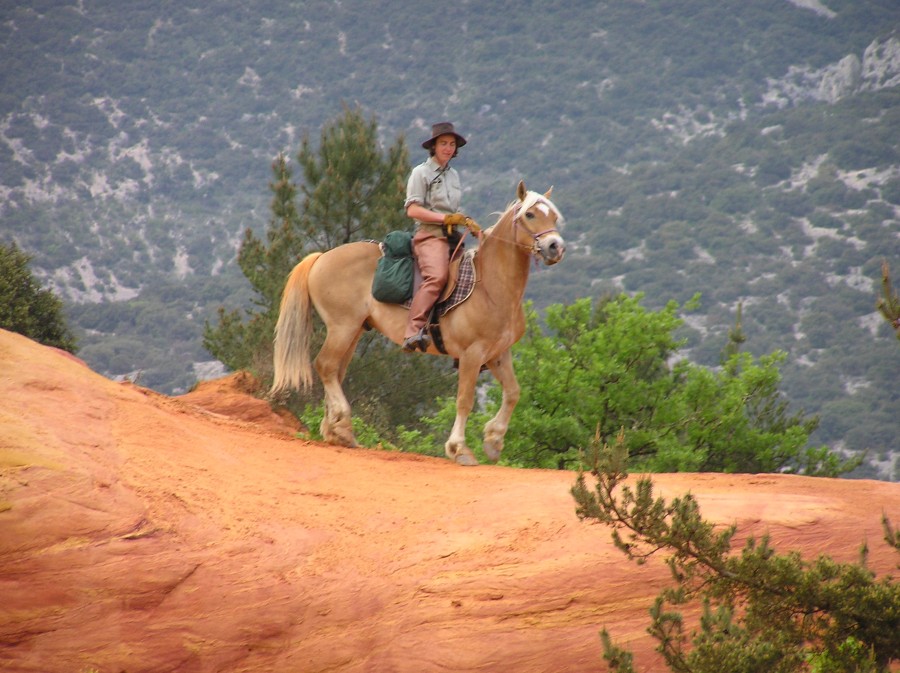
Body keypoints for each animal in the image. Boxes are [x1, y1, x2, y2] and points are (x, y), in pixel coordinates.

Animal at [270, 178, 568, 464]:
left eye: (554, 216)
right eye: (530, 214)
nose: (556, 247)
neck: (490, 286)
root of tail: (321, 257)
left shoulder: (498, 354)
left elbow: (513, 392)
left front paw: (493, 441)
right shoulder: (472, 354)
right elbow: (465, 400)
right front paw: (459, 448)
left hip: (352, 331)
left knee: (335, 371)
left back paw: (337, 430)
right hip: (342, 327)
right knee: (326, 365)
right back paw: (341, 423)